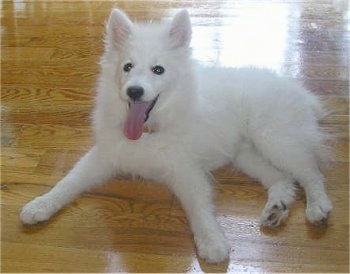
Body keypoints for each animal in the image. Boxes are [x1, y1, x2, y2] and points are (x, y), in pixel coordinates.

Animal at [20, 9, 332, 264]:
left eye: (158, 70)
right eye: (127, 67)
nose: (134, 91)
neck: (149, 129)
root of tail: (300, 92)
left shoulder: (186, 170)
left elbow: (198, 206)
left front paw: (211, 242)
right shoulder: (105, 156)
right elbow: (68, 181)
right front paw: (40, 205)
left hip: (273, 139)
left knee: (310, 172)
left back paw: (317, 206)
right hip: (246, 154)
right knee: (283, 179)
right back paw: (276, 208)